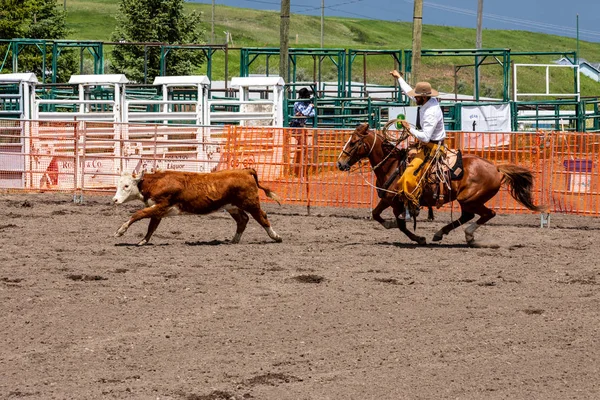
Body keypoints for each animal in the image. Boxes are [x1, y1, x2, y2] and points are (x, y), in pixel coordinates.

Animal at [112, 168, 284, 245]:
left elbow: (138, 214)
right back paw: (234, 240)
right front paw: (143, 241)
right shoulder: (158, 210)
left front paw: (120, 231)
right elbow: (151, 227)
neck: (157, 183)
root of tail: (245, 170)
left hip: (251, 203)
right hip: (232, 206)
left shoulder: (161, 206)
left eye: (126, 186)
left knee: (262, 218)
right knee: (243, 220)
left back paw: (276, 237)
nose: (115, 200)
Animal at [336, 123, 548, 245]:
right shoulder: (389, 199)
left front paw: (418, 238)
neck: (393, 166)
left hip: (469, 198)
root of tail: (496, 168)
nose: (340, 163)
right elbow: (376, 214)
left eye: (353, 142)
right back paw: (443, 233)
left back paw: (465, 235)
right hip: (468, 200)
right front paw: (393, 225)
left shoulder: (397, 202)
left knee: (486, 214)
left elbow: (400, 224)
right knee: (470, 215)